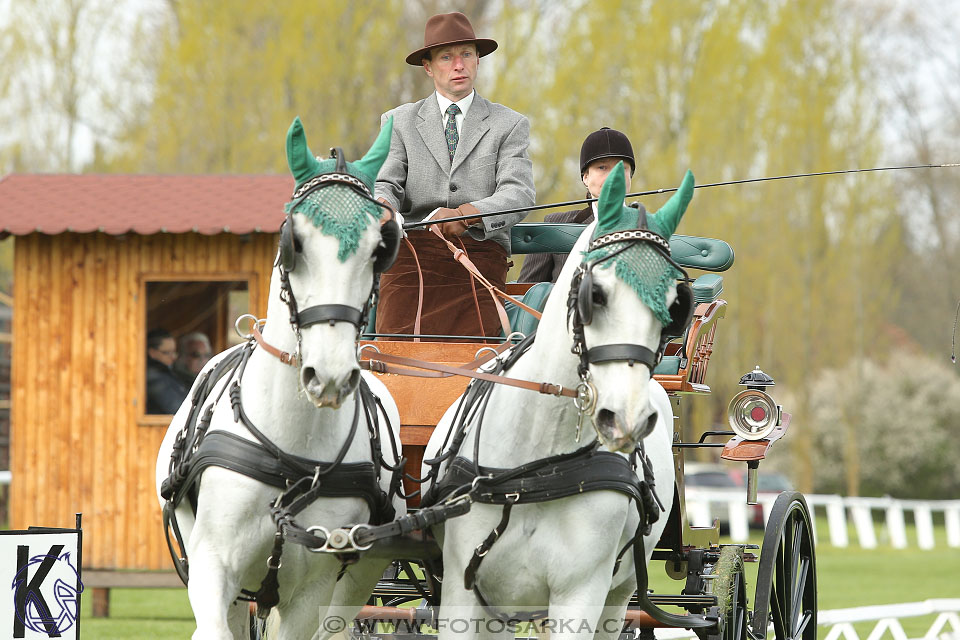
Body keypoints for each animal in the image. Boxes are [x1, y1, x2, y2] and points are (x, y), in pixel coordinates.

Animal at [153, 116, 404, 640]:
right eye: (295, 242)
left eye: (379, 248)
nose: (329, 375)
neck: (293, 453)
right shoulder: (211, 566)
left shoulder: (312, 588)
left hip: (358, 579)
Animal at [420, 166, 696, 640]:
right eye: (595, 293)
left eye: (676, 306)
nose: (627, 418)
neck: (534, 469)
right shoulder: (462, 590)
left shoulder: (580, 594)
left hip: (617, 594)